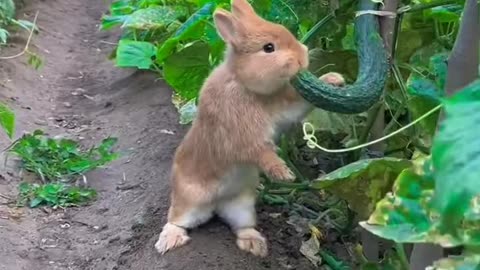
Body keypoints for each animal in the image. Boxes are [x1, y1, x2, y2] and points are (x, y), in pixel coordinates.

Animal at [155, 0, 344, 258]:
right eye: (268, 48)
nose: (302, 56)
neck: (243, 83)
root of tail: (217, 203)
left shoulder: (284, 109)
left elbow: (300, 104)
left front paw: (333, 79)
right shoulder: (242, 136)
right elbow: (260, 152)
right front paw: (284, 174)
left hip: (243, 207)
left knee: (242, 226)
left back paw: (255, 245)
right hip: (189, 202)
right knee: (176, 220)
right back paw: (170, 241)